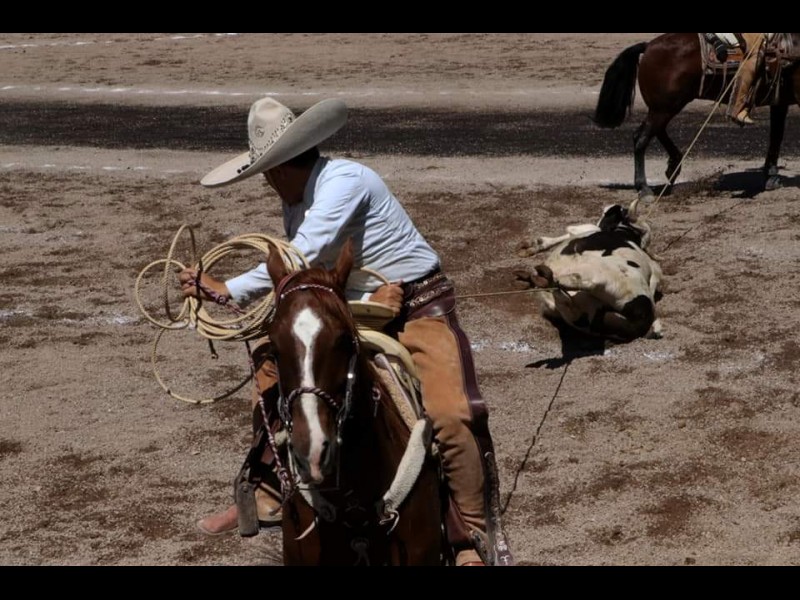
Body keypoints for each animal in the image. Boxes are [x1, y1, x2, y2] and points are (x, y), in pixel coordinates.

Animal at [593, 33, 800, 199]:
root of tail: (649, 46)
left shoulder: (779, 102)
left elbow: (776, 136)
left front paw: (771, 175)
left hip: (665, 107)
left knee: (656, 131)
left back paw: (673, 166)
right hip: (664, 107)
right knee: (641, 137)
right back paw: (644, 188)